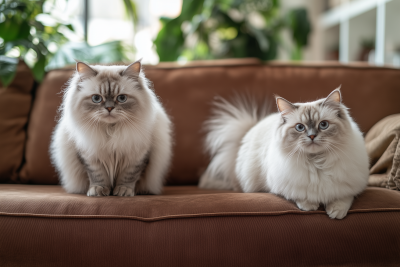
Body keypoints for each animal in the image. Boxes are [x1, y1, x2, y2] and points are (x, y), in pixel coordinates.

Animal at [50, 61, 172, 198]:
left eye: (122, 98)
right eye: (96, 98)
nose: (109, 108)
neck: (111, 131)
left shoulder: (137, 156)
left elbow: (128, 177)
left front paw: (124, 191)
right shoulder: (90, 156)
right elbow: (98, 176)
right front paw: (98, 190)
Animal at [198, 89, 370, 219]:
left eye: (323, 125)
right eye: (300, 127)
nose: (312, 136)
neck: (316, 162)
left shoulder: (350, 184)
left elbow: (343, 198)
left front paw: (335, 212)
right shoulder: (285, 184)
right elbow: (302, 195)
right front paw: (310, 206)